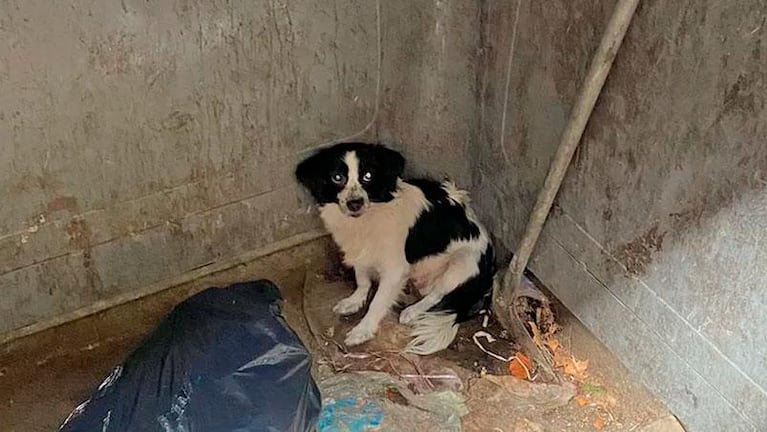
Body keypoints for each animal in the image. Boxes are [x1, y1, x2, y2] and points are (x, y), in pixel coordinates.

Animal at [294, 143, 498, 354]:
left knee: (437, 294)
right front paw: (354, 300)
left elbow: (377, 303)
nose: (354, 203)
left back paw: (412, 311)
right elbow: (362, 280)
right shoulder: (361, 253)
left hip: (463, 261)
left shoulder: (394, 270)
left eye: (368, 176)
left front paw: (363, 330)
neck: (366, 220)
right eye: (337, 177)